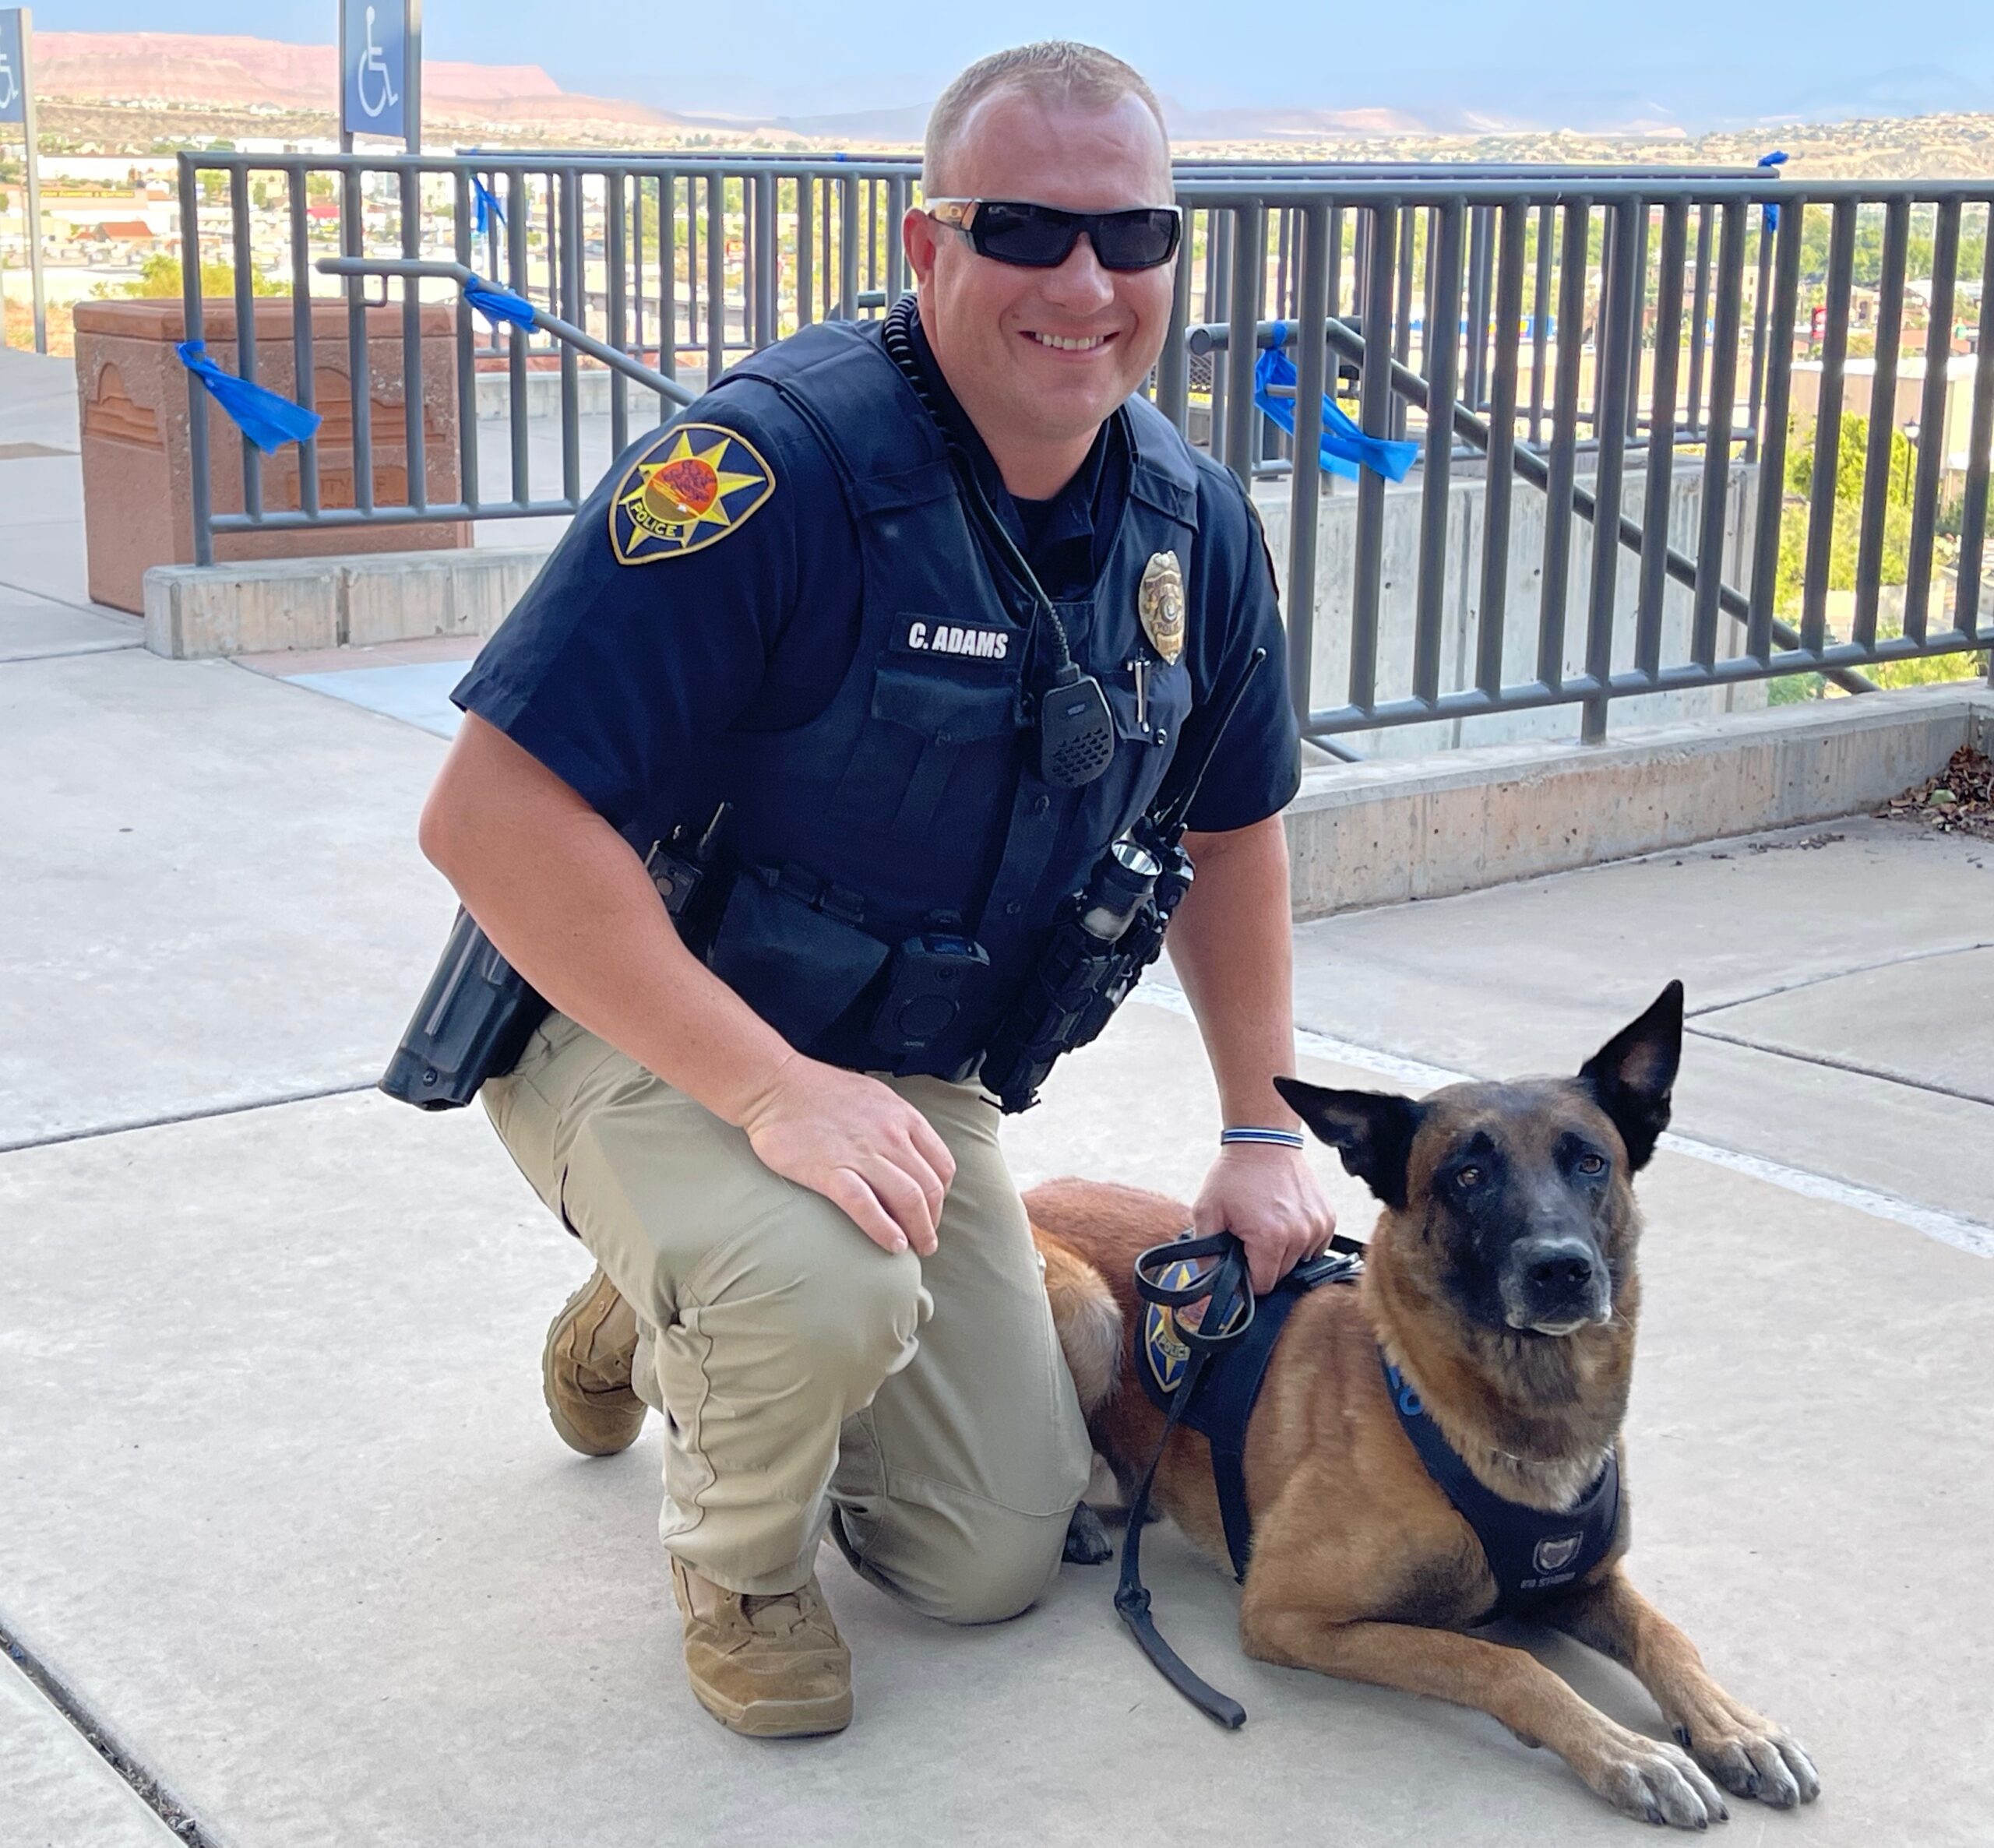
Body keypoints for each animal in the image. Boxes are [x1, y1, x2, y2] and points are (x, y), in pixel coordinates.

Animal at [1028, 988, 1826, 1825]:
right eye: (1467, 1173)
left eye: (1591, 1162)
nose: (1561, 1269)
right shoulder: (1285, 1612)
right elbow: (1503, 1660)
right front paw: (1625, 1750)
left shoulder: (1587, 1583)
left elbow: (1667, 1634)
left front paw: (1735, 1724)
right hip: (1087, 1309)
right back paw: (1076, 1521)